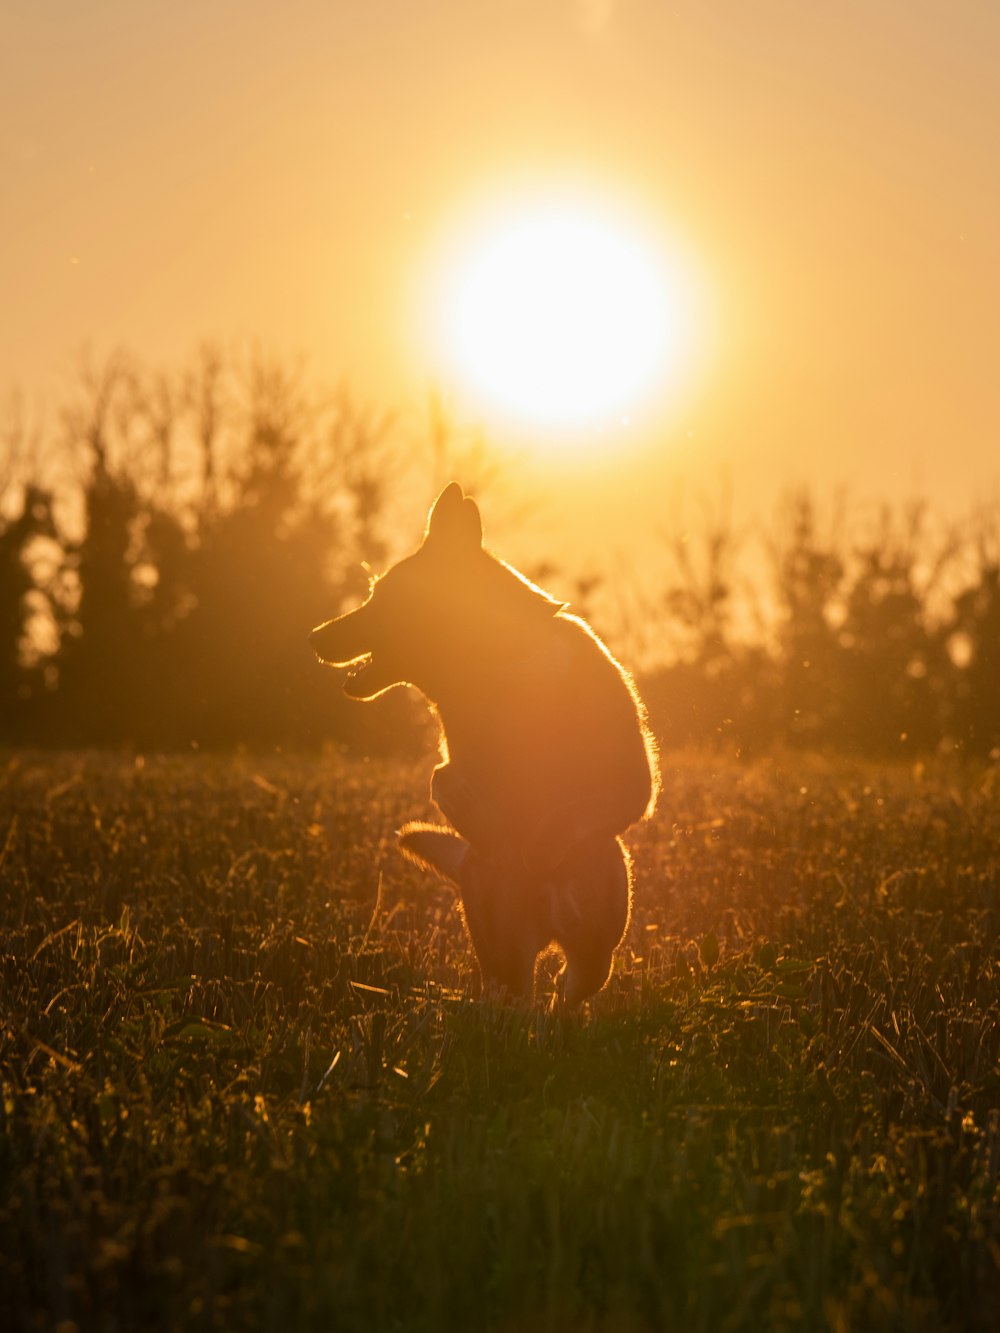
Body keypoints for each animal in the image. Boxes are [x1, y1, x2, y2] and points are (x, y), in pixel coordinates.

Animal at [313, 485, 658, 1002]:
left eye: (380, 597)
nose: (313, 637)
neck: (494, 668)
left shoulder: (632, 777)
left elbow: (569, 818)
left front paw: (538, 847)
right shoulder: (454, 763)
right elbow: (444, 780)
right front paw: (486, 822)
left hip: (596, 948)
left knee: (566, 992)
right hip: (507, 958)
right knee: (516, 995)